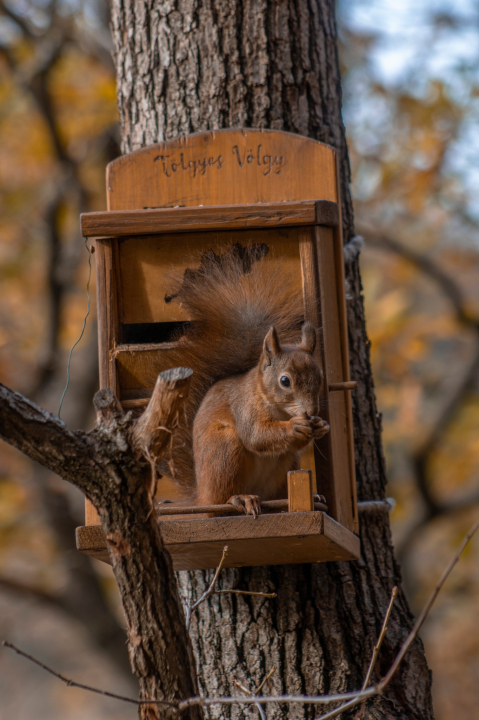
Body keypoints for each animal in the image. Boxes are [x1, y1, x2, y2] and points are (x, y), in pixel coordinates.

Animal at [161, 245, 330, 516]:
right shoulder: (245, 407)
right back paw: (240, 498)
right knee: (222, 498)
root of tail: (201, 497)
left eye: (320, 377)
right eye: (285, 381)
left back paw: (306, 498)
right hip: (225, 451)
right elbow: (256, 435)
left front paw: (322, 426)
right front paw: (294, 427)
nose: (311, 411)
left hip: (286, 466)